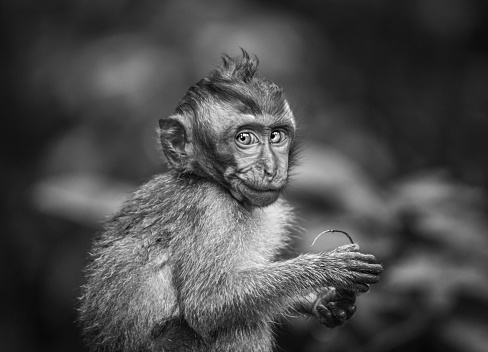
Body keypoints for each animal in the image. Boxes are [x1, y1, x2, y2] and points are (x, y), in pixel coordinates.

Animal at [78, 50, 384, 352]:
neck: (214, 184)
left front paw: (325, 301)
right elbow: (207, 304)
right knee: (238, 323)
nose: (271, 168)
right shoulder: (209, 208)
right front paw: (326, 269)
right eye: (244, 138)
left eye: (276, 136)